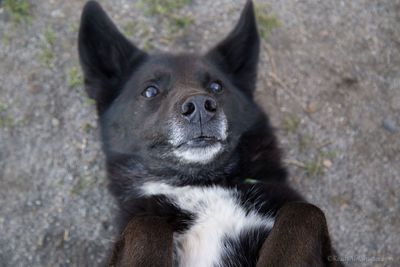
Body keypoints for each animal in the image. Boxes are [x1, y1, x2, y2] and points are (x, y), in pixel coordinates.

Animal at [79, 1, 344, 266]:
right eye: (150, 90)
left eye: (216, 86)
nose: (199, 107)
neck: (202, 186)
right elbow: (146, 223)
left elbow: (305, 210)